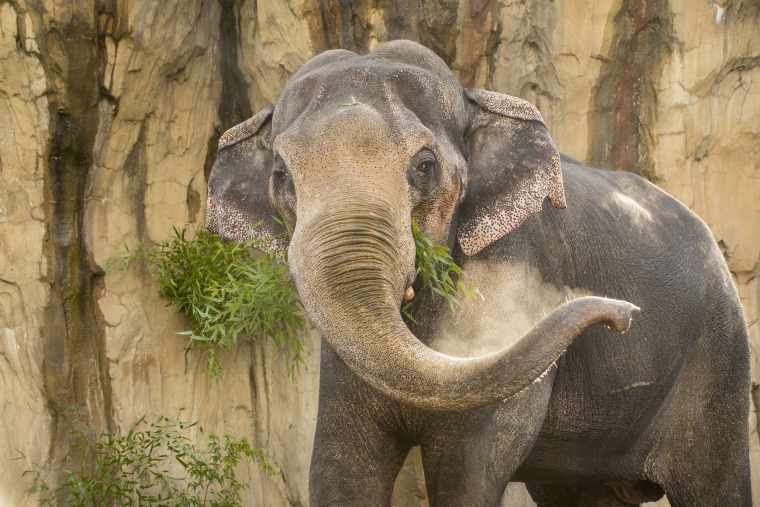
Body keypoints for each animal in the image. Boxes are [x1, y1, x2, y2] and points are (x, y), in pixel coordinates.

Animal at [205, 40, 752, 507]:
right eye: (281, 176)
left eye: (424, 166)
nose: (625, 315)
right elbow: (341, 468)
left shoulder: (516, 266)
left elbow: (467, 468)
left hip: (719, 360)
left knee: (715, 482)